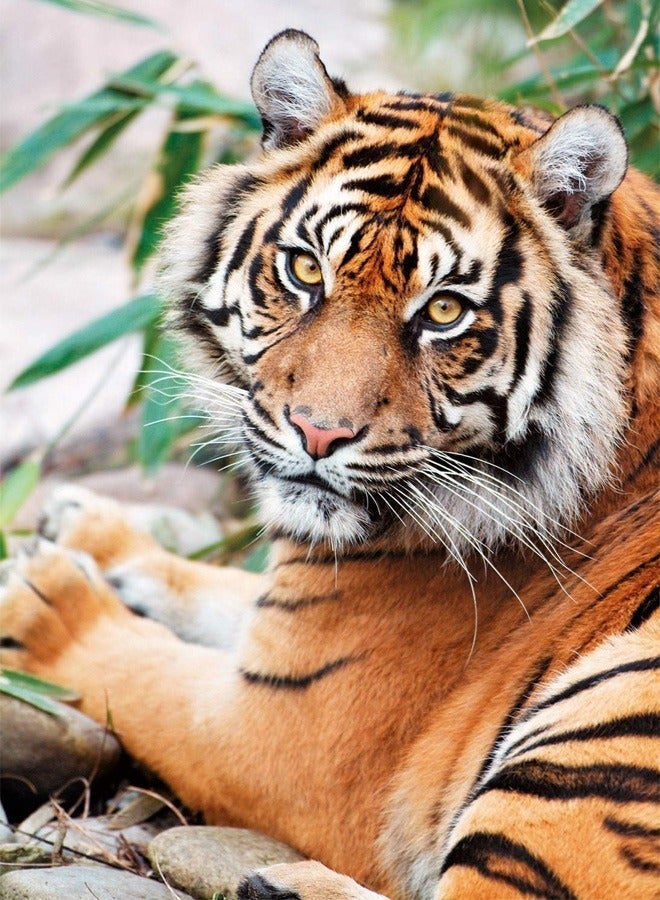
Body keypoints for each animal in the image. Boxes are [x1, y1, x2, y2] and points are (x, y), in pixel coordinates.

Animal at [1, 28, 658, 900]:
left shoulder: (281, 729)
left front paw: (46, 599)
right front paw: (91, 532)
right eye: (305, 270)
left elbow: (143, 674)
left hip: (603, 724)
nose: (317, 434)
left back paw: (283, 882)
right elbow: (226, 591)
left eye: (443, 311)